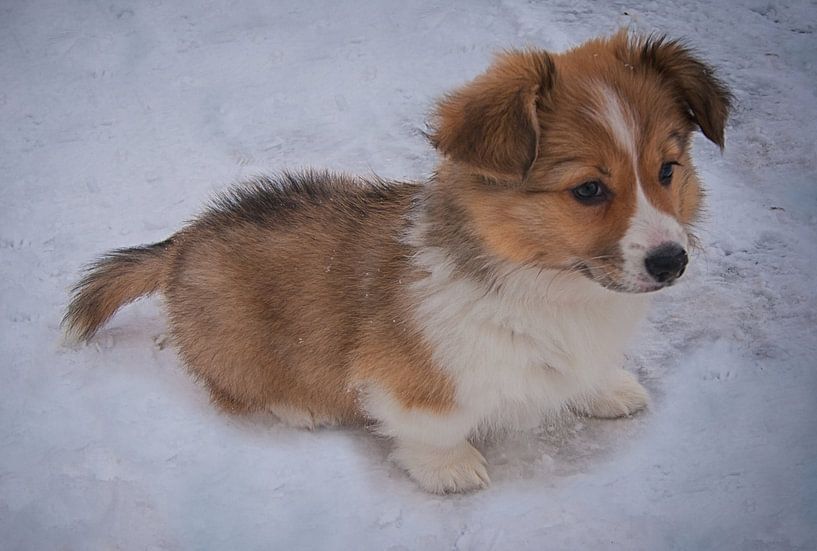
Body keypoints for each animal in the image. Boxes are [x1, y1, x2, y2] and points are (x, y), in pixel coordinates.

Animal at [62, 31, 728, 496]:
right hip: (234, 341)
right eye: (588, 190)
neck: (547, 282)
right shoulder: (411, 378)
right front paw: (451, 469)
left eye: (667, 170)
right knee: (225, 383)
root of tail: (184, 241)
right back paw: (297, 406)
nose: (672, 262)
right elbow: (432, 422)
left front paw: (607, 388)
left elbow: (581, 371)